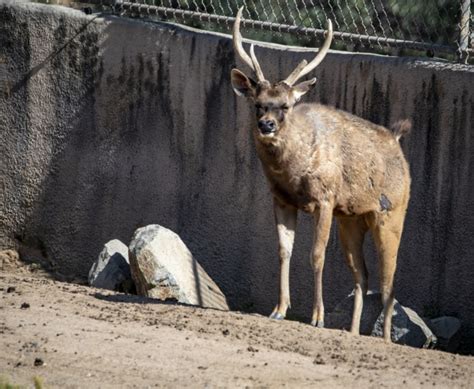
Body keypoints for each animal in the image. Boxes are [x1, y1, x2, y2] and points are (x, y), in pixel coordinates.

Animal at [231, 7, 412, 342]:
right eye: (258, 104)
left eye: (285, 106)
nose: (266, 125)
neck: (291, 172)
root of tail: (397, 140)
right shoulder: (281, 199)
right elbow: (284, 250)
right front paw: (279, 309)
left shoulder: (325, 199)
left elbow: (316, 255)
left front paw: (317, 317)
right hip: (352, 219)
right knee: (362, 276)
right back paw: (352, 331)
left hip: (392, 212)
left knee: (389, 281)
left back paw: (384, 338)